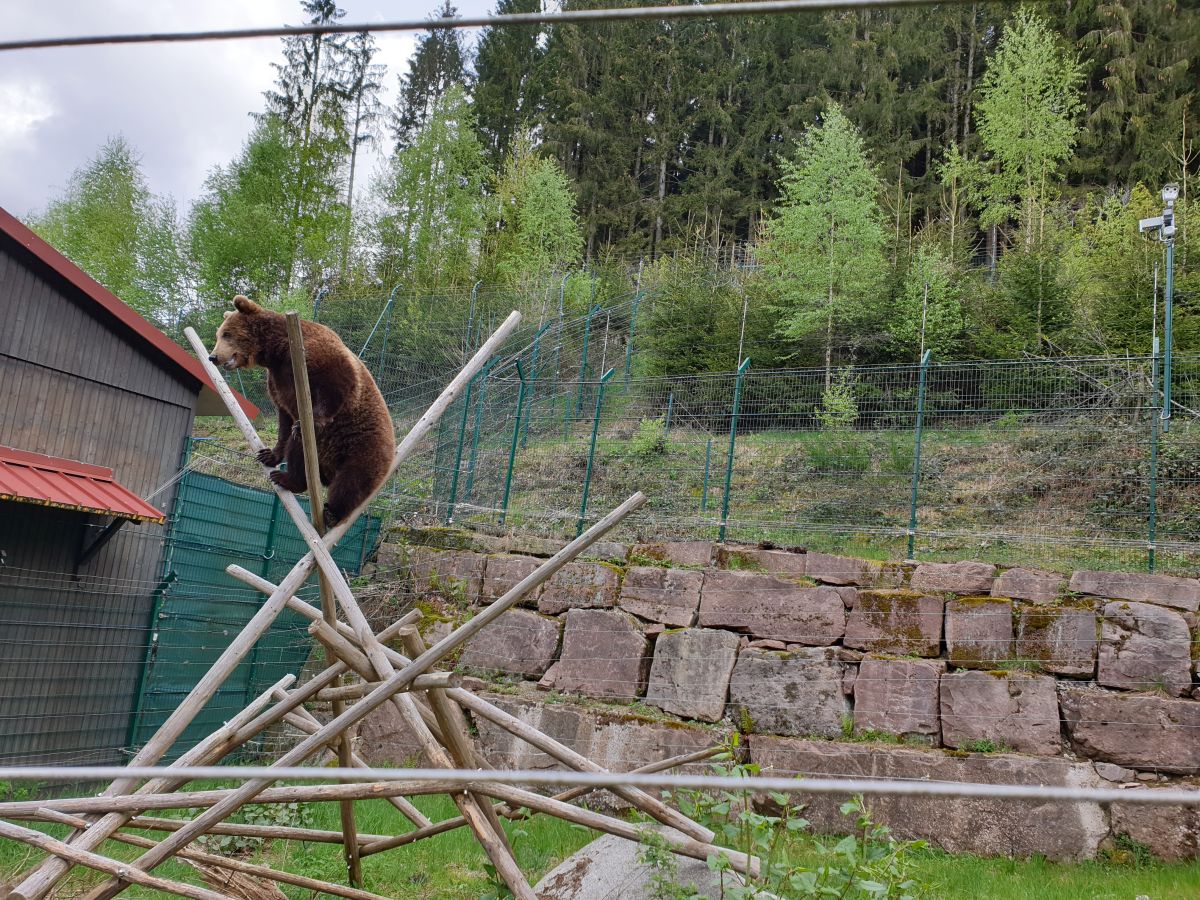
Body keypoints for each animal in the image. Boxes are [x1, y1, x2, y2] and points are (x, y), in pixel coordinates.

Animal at [207, 296, 393, 525]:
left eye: (227, 333)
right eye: (218, 334)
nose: (213, 356)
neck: (276, 351)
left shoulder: (315, 356)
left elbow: (337, 385)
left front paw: (314, 420)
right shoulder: (278, 381)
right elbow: (284, 420)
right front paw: (268, 454)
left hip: (362, 449)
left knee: (350, 482)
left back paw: (330, 511)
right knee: (298, 452)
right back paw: (288, 477)